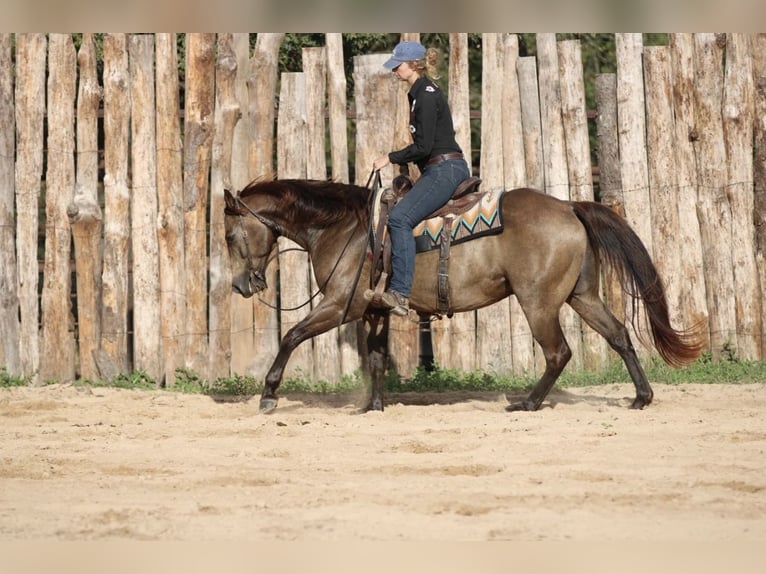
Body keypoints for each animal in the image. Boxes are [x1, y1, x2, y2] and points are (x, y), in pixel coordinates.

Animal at [223, 177, 703, 414]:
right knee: (619, 335)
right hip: (581, 295)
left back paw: (527, 403)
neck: (345, 228)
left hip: (538, 302)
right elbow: (376, 358)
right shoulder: (374, 309)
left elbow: (291, 335)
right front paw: (373, 407)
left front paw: (268, 394)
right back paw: (641, 397)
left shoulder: (341, 305)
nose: (241, 285)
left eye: (228, 235)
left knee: (558, 352)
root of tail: (568, 206)